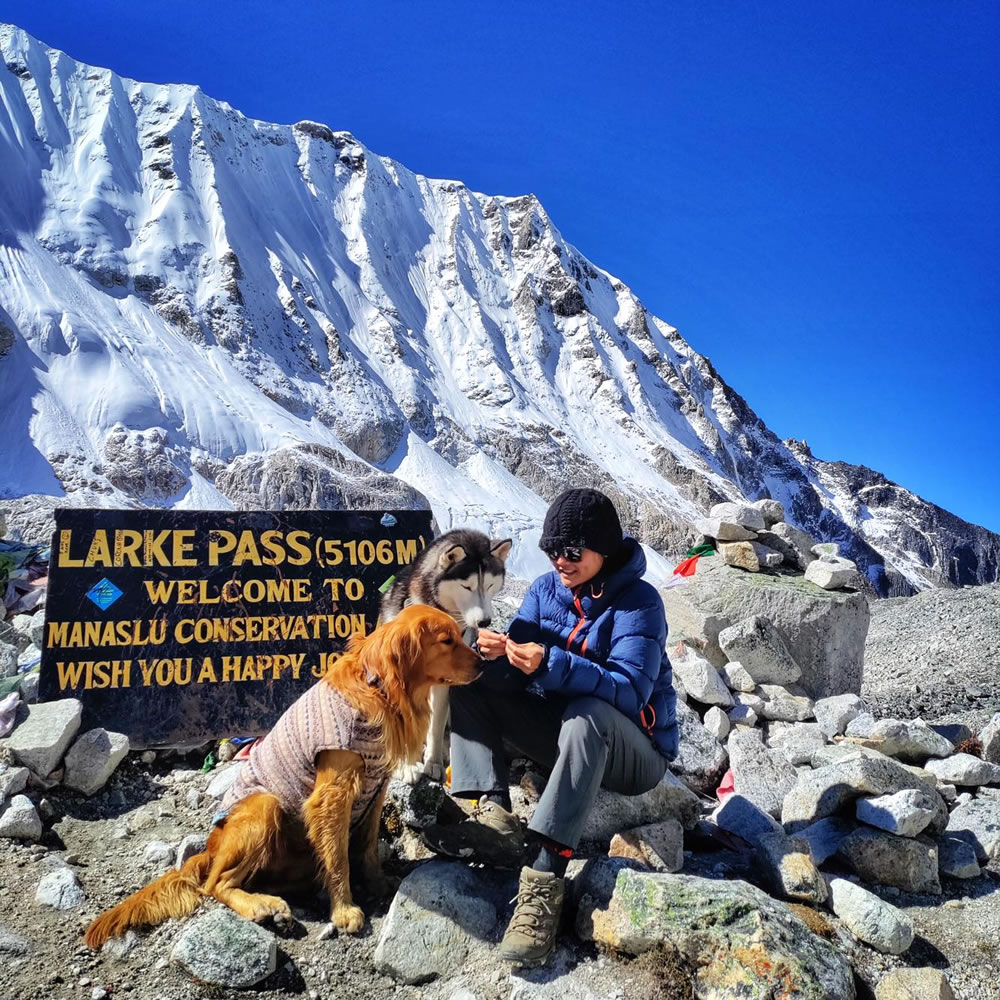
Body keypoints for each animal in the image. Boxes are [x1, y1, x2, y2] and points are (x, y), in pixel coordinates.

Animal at [378, 528, 512, 784]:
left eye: (490, 584)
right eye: (466, 587)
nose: (484, 622)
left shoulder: (444, 685)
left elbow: (437, 725)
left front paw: (433, 762)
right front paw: (406, 766)